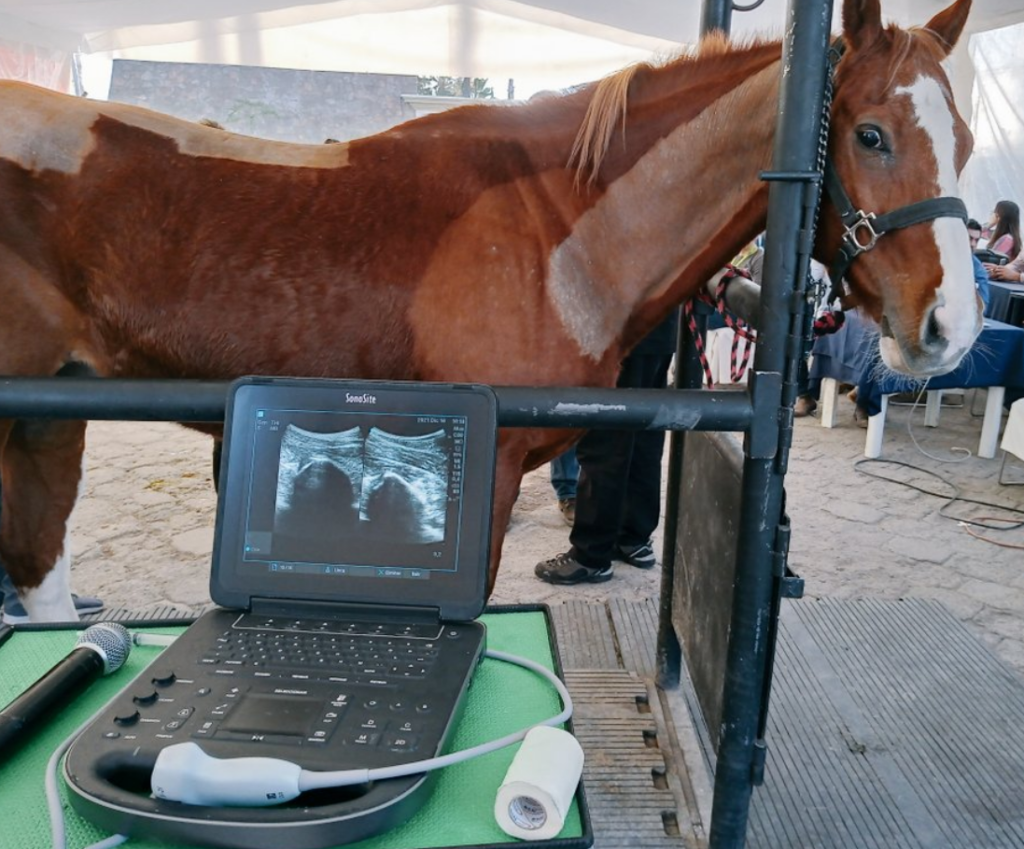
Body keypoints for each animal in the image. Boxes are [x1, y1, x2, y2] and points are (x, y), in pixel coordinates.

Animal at [0, 0, 980, 622]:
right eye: (870, 134)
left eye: (967, 143)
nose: (952, 330)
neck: (559, 229)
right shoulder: (491, 464)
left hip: (49, 419)